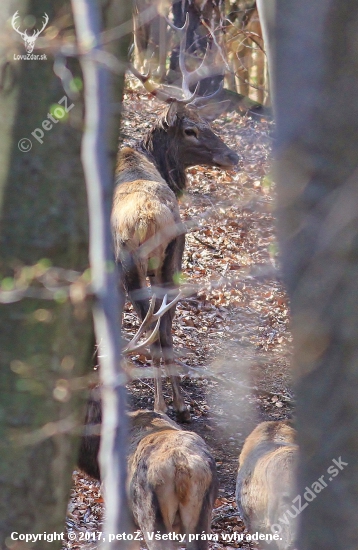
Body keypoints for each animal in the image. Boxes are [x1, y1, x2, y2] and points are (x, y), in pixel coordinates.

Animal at [113, 18, 239, 422]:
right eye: (191, 129)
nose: (233, 156)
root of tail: (148, 221)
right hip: (169, 259)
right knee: (163, 328)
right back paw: (178, 406)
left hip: (137, 265)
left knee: (154, 327)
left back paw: (162, 406)